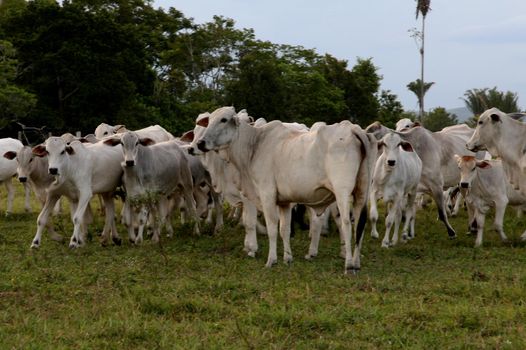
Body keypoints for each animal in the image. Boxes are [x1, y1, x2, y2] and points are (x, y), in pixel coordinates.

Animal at [194, 106, 376, 274]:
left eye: (224, 119)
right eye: (209, 121)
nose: (200, 143)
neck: (254, 145)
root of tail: (352, 128)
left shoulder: (267, 194)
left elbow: (272, 228)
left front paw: (271, 260)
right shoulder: (285, 202)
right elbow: (285, 229)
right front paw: (287, 258)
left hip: (342, 192)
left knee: (347, 223)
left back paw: (349, 264)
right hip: (362, 191)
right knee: (359, 223)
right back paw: (356, 262)